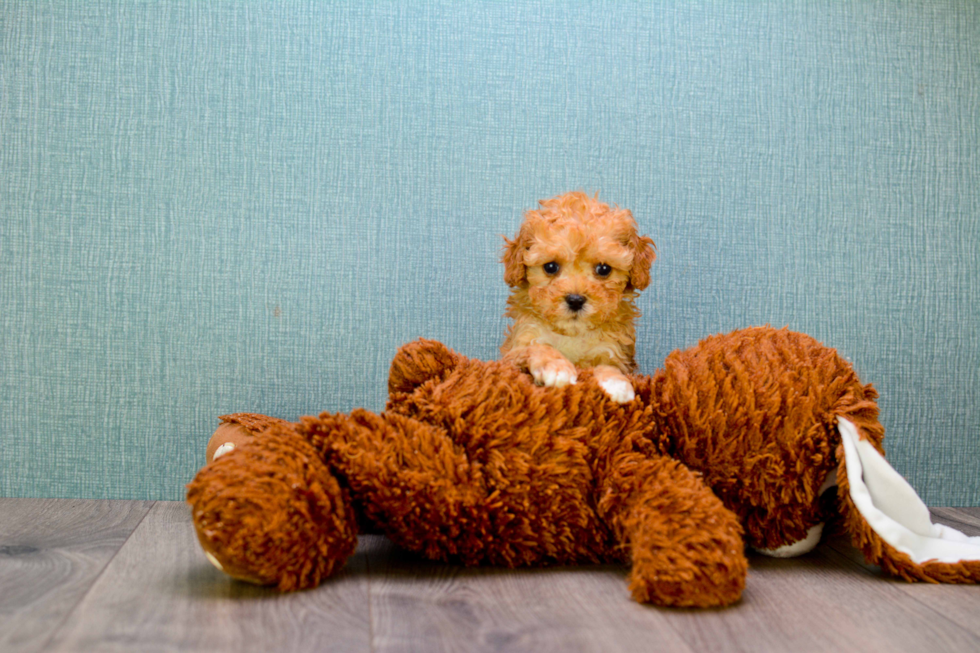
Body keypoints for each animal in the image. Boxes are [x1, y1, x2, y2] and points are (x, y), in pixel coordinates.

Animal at [502, 191, 656, 400]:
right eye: (550, 267)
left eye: (604, 269)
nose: (575, 300)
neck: (572, 333)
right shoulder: (515, 351)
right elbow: (538, 347)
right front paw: (556, 366)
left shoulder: (613, 351)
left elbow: (609, 366)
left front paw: (616, 382)